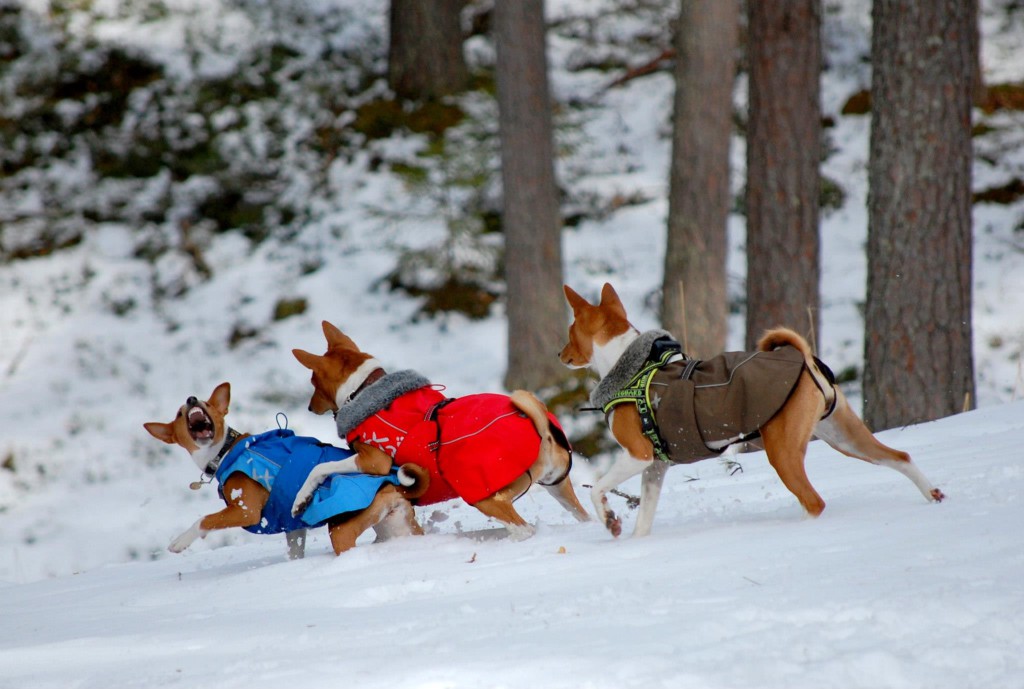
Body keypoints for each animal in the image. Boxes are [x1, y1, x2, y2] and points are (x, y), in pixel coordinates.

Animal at [292, 319, 589, 540]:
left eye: (313, 382)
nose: (309, 407)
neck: (365, 389)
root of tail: (541, 431)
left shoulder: (374, 460)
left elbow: (321, 468)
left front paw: (301, 498)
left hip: (484, 495)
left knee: (523, 529)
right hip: (558, 486)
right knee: (583, 516)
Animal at [561, 282, 942, 536]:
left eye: (569, 331)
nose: (560, 355)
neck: (634, 369)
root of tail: (804, 360)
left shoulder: (638, 454)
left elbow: (596, 489)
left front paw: (609, 520)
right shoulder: (656, 467)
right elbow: (643, 521)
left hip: (782, 449)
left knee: (814, 501)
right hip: (844, 437)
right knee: (899, 457)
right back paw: (933, 494)